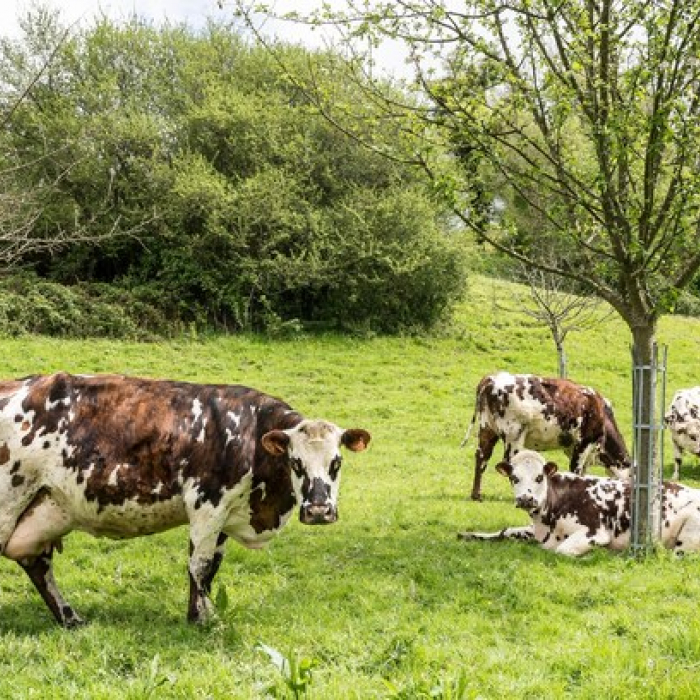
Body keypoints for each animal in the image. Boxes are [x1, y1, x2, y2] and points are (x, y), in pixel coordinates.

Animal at [0, 372, 371, 627]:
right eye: (296, 463)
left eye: (336, 462)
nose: (319, 510)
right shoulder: (207, 504)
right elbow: (199, 565)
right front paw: (204, 621)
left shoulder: (226, 514)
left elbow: (210, 568)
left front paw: (199, 614)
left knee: (38, 565)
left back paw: (70, 618)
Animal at [458, 450, 700, 556]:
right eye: (514, 478)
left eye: (539, 477)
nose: (526, 498)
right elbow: (504, 531)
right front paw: (468, 534)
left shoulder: (595, 532)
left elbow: (562, 550)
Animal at [461, 372, 631, 501]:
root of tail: (491, 378)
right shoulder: (584, 442)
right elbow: (576, 470)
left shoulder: (573, 448)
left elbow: (582, 472)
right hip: (514, 434)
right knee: (508, 462)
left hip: (487, 429)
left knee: (481, 457)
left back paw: (476, 495)